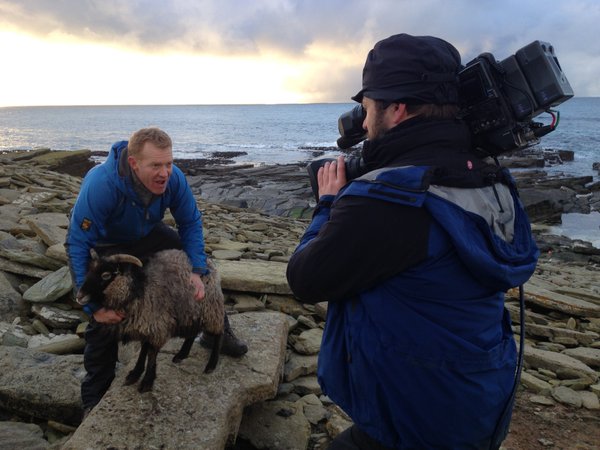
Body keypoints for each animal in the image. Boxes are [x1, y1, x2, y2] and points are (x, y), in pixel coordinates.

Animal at [75, 248, 225, 392]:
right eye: (89, 270)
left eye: (106, 275)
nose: (79, 296)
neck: (136, 290)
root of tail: (208, 260)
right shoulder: (146, 325)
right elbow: (143, 350)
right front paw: (135, 373)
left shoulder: (157, 324)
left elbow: (152, 353)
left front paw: (147, 382)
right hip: (192, 309)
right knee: (194, 331)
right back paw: (181, 355)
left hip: (211, 306)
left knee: (219, 331)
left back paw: (211, 364)